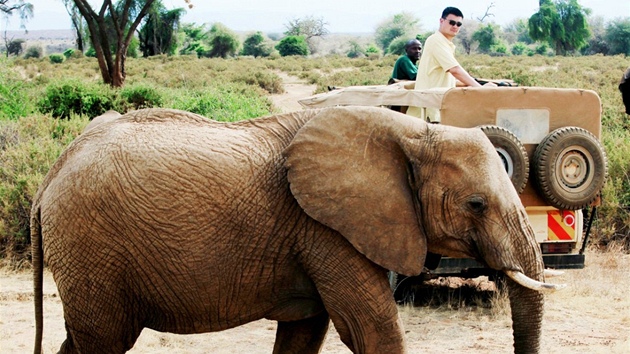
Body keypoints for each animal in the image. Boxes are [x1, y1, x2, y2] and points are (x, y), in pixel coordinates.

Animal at [32, 106, 560, 352]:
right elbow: (371, 331)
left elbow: (306, 333)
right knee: (104, 342)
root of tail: (50, 176)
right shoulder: (327, 230)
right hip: (89, 246)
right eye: (476, 204)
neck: (413, 131)